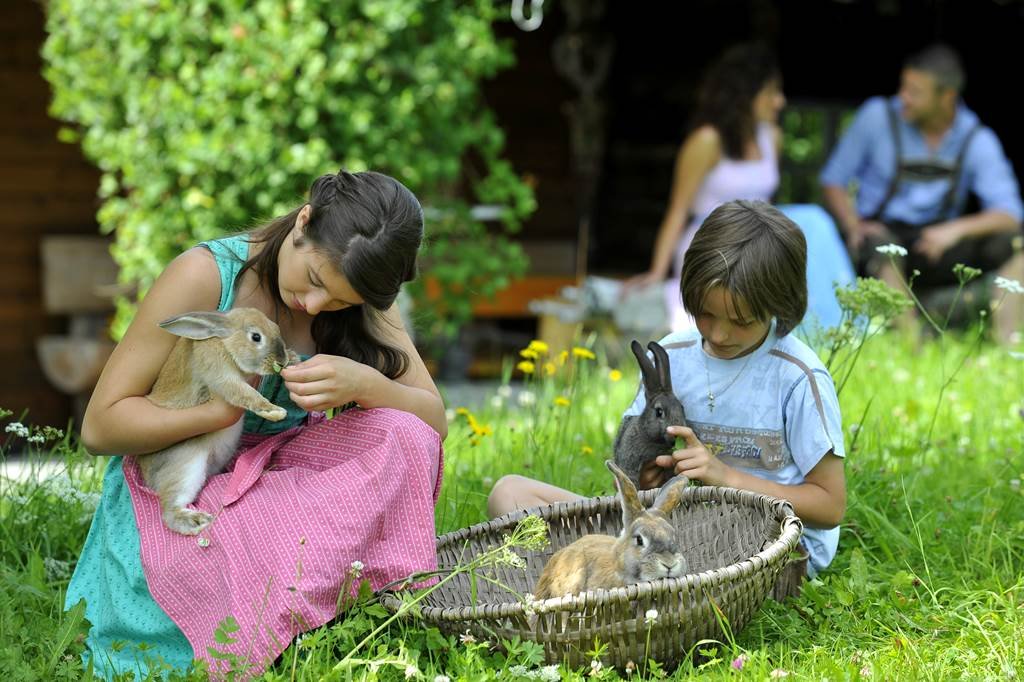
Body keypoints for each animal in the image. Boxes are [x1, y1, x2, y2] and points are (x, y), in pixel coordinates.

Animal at [136, 307, 299, 536]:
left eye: (276, 328)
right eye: (256, 337)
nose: (281, 360)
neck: (225, 343)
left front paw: (294, 358)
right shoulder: (222, 376)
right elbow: (245, 394)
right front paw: (275, 412)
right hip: (187, 463)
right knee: (169, 510)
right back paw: (197, 521)